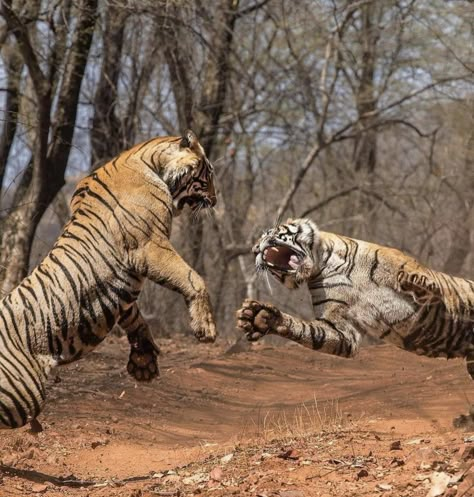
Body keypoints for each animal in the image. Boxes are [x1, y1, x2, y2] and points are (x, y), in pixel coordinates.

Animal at [0, 130, 218, 428]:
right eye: (208, 174)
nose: (216, 200)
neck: (153, 163)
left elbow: (134, 316)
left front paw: (143, 364)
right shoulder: (151, 246)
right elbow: (192, 278)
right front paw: (205, 328)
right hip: (23, 393)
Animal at [237, 218, 474, 426]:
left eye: (269, 233)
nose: (254, 250)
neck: (324, 264)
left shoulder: (406, 268)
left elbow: (421, 278)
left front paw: (422, 286)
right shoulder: (340, 329)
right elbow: (311, 332)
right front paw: (260, 317)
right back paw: (466, 421)